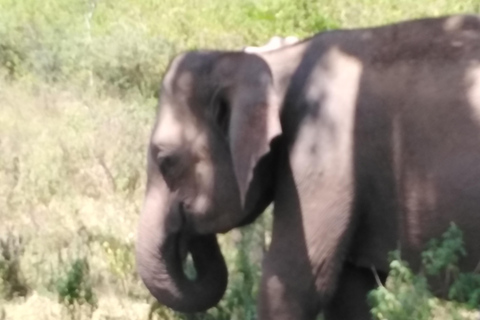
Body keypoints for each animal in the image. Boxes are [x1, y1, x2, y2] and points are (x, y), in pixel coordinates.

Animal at [134, 15, 480, 320]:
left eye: (166, 161)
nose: (185, 233)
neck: (279, 63)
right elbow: (351, 293)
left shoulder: (323, 151)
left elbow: (294, 283)